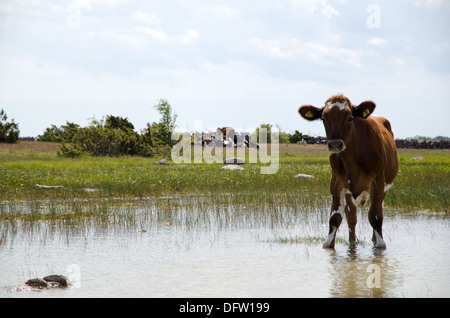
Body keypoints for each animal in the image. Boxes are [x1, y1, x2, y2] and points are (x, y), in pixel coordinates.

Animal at [298, 94, 398, 248]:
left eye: (350, 118)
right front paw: (329, 244)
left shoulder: (378, 182)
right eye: (323, 119)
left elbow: (375, 216)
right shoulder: (336, 181)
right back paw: (352, 242)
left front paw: (379, 244)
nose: (335, 144)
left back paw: (373, 239)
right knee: (351, 216)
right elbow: (335, 218)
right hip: (350, 193)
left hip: (384, 188)